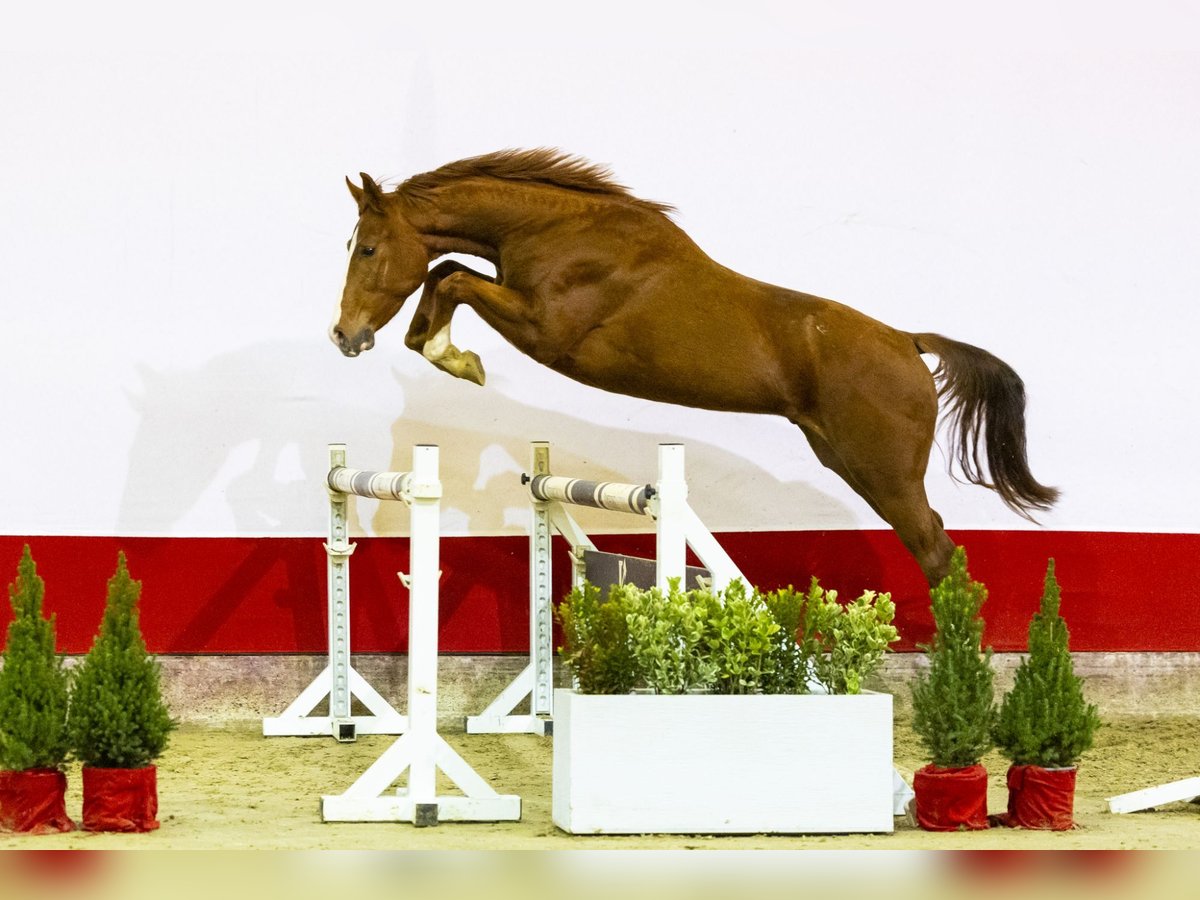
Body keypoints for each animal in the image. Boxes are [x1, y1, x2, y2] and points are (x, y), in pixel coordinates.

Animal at [328, 150, 1051, 585]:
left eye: (368, 249)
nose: (344, 336)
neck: (559, 234)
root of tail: (908, 341)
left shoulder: (546, 332)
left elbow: (453, 278)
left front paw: (459, 360)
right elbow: (445, 273)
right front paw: (438, 346)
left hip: (885, 474)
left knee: (937, 553)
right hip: (847, 460)